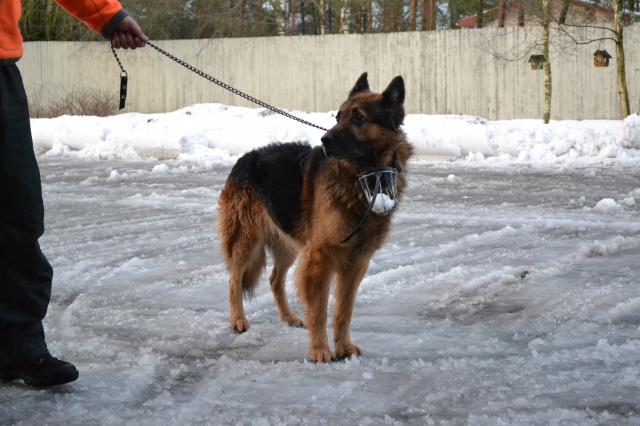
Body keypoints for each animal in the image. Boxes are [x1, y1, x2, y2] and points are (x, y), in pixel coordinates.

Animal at [217, 72, 413, 362]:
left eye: (359, 118)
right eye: (337, 117)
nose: (325, 140)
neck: (366, 177)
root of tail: (245, 158)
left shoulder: (356, 263)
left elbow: (344, 311)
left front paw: (343, 347)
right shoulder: (320, 259)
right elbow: (319, 310)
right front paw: (320, 350)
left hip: (288, 243)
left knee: (275, 279)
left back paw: (288, 317)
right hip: (246, 240)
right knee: (234, 280)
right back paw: (238, 320)